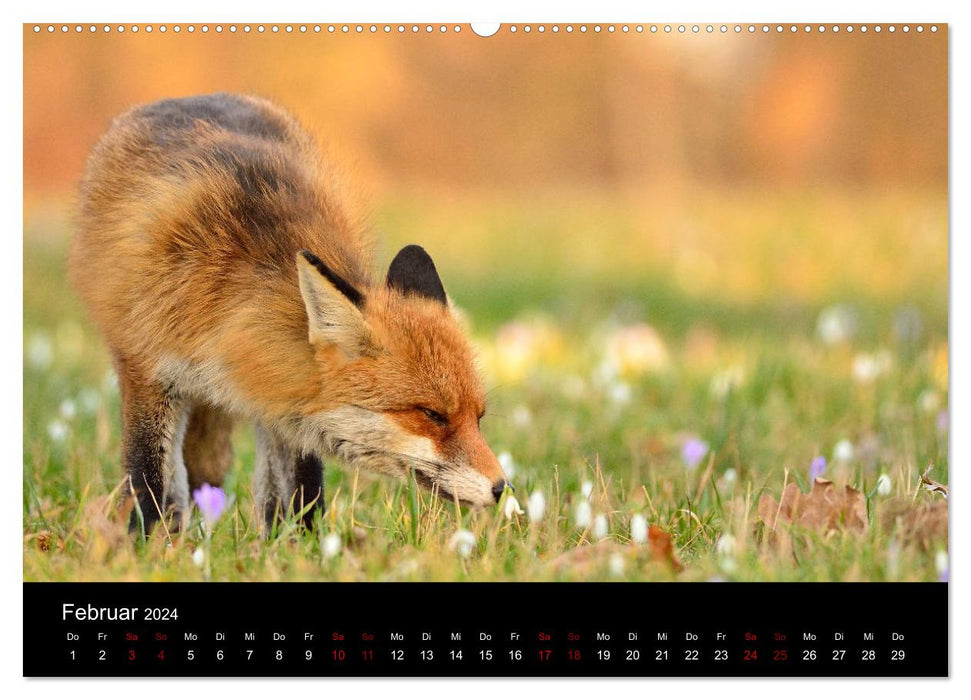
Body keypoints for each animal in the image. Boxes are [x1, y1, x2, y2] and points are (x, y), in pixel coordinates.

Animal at [72, 91, 512, 532]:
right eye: (432, 414)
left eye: (479, 417)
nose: (502, 488)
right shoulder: (147, 371)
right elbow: (147, 481)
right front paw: (143, 544)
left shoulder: (289, 396)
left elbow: (304, 488)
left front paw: (307, 544)